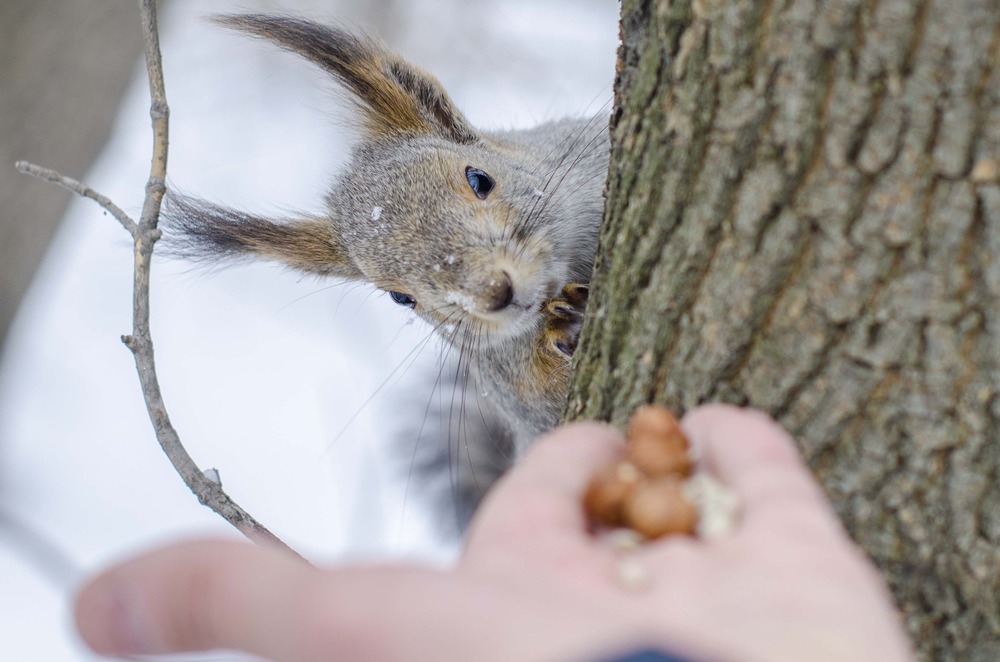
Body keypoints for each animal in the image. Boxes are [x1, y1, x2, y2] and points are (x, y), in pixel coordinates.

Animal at [164, 14, 608, 536]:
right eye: (400, 297)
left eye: (479, 179)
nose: (495, 294)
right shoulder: (512, 392)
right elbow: (550, 415)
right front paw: (562, 327)